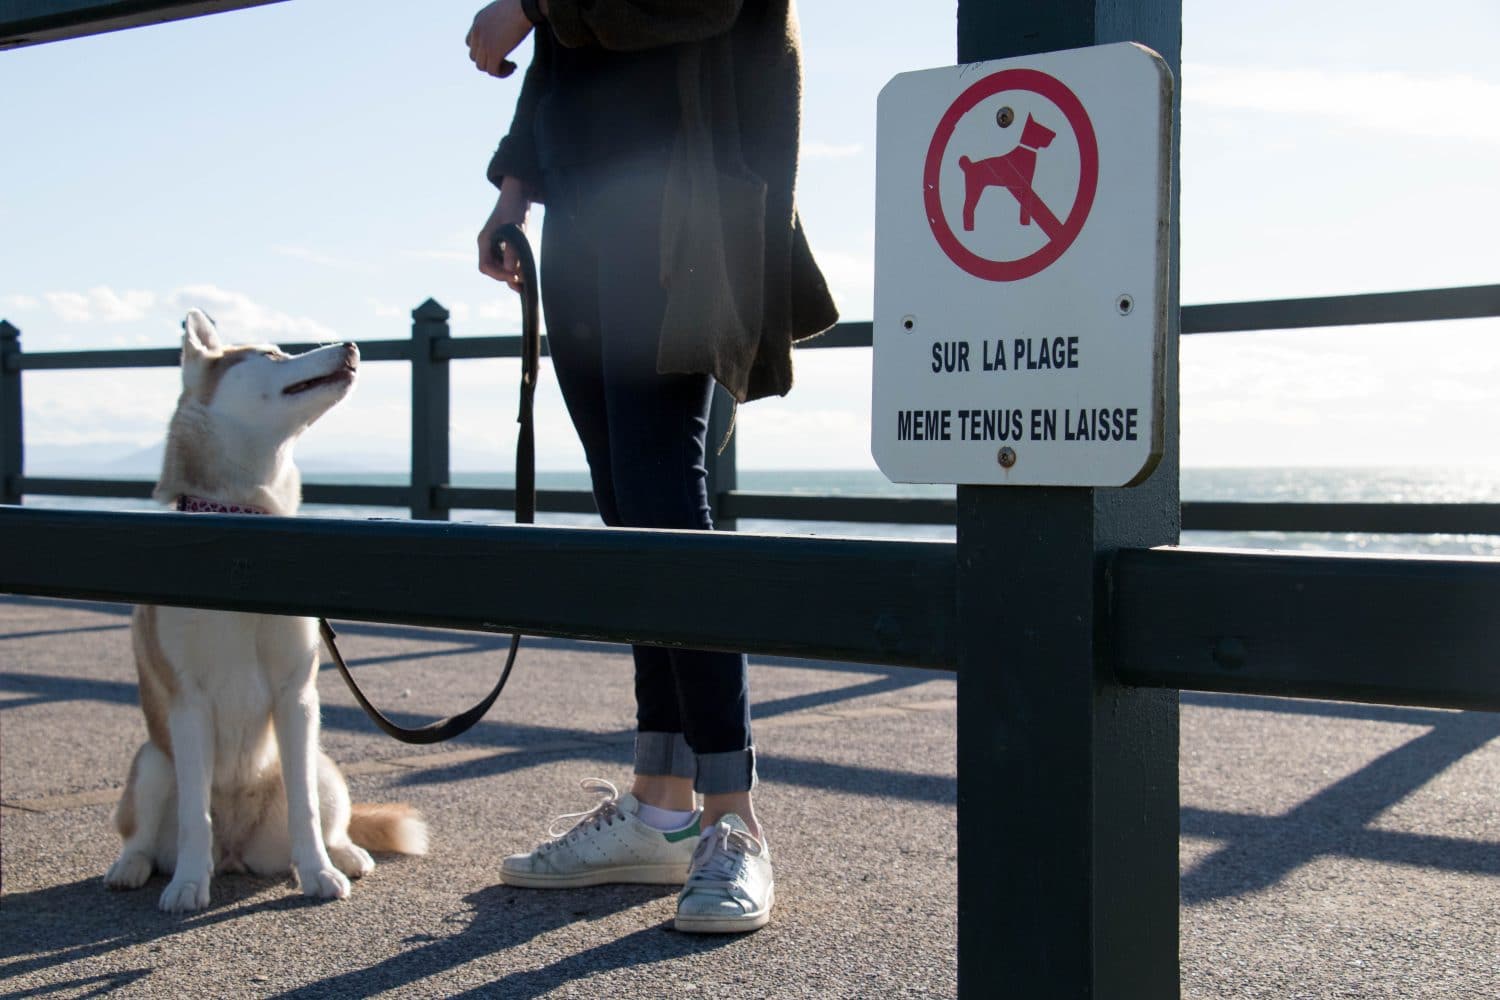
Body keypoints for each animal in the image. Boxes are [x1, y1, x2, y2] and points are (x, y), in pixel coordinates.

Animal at [106, 308, 426, 911]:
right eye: (273, 354)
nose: (351, 345)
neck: (245, 536)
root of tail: (236, 853)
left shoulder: (295, 697)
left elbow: (305, 809)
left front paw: (319, 873)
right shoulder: (187, 702)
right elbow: (195, 818)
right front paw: (188, 884)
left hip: (324, 765)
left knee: (329, 816)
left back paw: (345, 853)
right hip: (153, 763)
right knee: (145, 833)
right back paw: (134, 866)